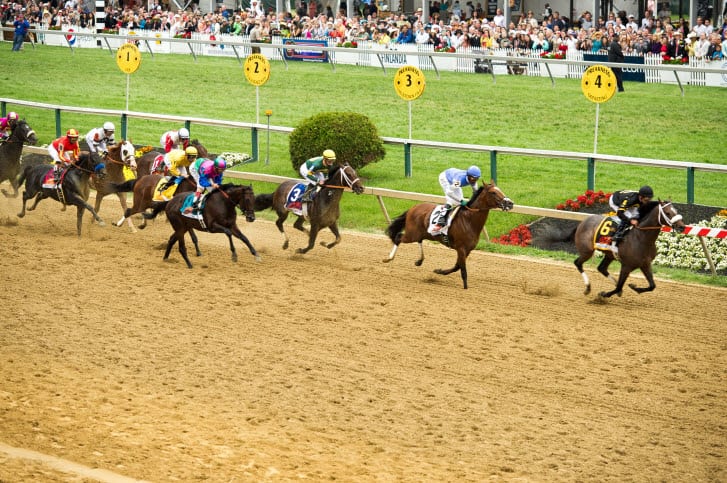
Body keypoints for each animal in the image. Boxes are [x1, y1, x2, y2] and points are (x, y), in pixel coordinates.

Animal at [384, 181, 516, 288]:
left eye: (500, 190)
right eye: (493, 192)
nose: (510, 203)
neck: (469, 220)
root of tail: (413, 208)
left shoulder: (467, 250)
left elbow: (457, 266)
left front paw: (439, 271)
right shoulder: (461, 248)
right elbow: (463, 271)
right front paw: (465, 289)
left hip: (420, 234)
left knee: (418, 240)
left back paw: (419, 260)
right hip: (412, 234)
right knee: (398, 238)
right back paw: (388, 258)